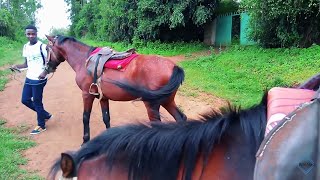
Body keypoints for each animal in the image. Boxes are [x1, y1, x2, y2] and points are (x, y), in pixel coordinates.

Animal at [40, 35, 186, 145]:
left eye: (47, 48)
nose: (46, 69)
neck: (84, 61)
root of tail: (174, 67)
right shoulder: (102, 97)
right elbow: (106, 118)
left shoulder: (87, 94)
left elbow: (85, 117)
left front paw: (85, 141)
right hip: (167, 101)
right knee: (181, 118)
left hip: (152, 104)